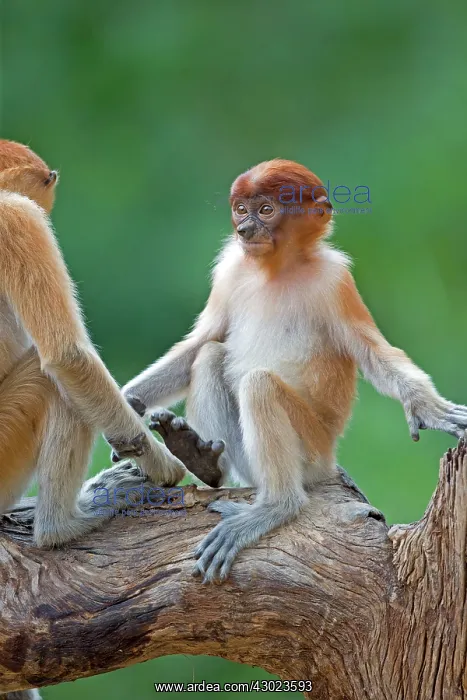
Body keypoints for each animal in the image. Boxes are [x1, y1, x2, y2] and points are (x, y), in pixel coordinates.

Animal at [0, 139, 186, 550]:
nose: (48, 211)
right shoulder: (17, 218)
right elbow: (68, 357)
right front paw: (165, 465)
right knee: (52, 381)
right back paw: (60, 527)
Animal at [120, 158, 467, 583]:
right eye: (241, 209)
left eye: (267, 210)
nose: (244, 231)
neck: (278, 269)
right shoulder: (230, 269)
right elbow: (201, 341)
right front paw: (127, 403)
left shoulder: (336, 281)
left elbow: (375, 354)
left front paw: (430, 409)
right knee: (211, 355)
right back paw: (204, 461)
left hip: (312, 450)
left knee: (259, 385)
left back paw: (276, 506)